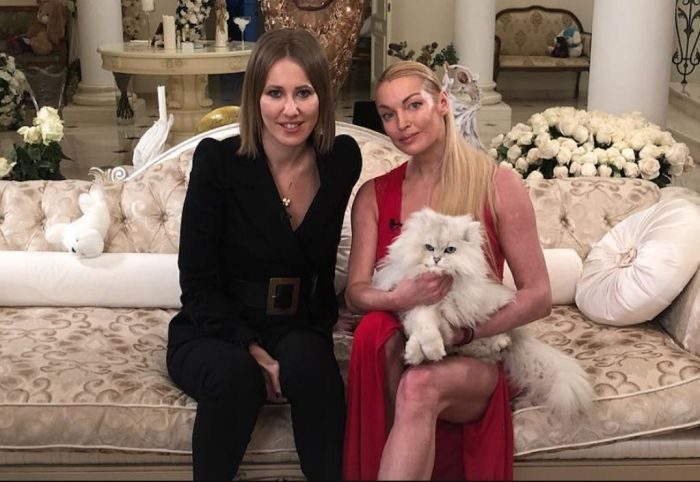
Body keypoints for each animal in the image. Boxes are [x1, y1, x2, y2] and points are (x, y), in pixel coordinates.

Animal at [372, 207, 594, 421]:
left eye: (450, 250)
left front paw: (429, 352)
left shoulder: (446, 310)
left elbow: (433, 331)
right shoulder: (416, 305)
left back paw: (499, 342)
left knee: (492, 340)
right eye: (428, 247)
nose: (436, 259)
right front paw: (417, 354)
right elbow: (424, 329)